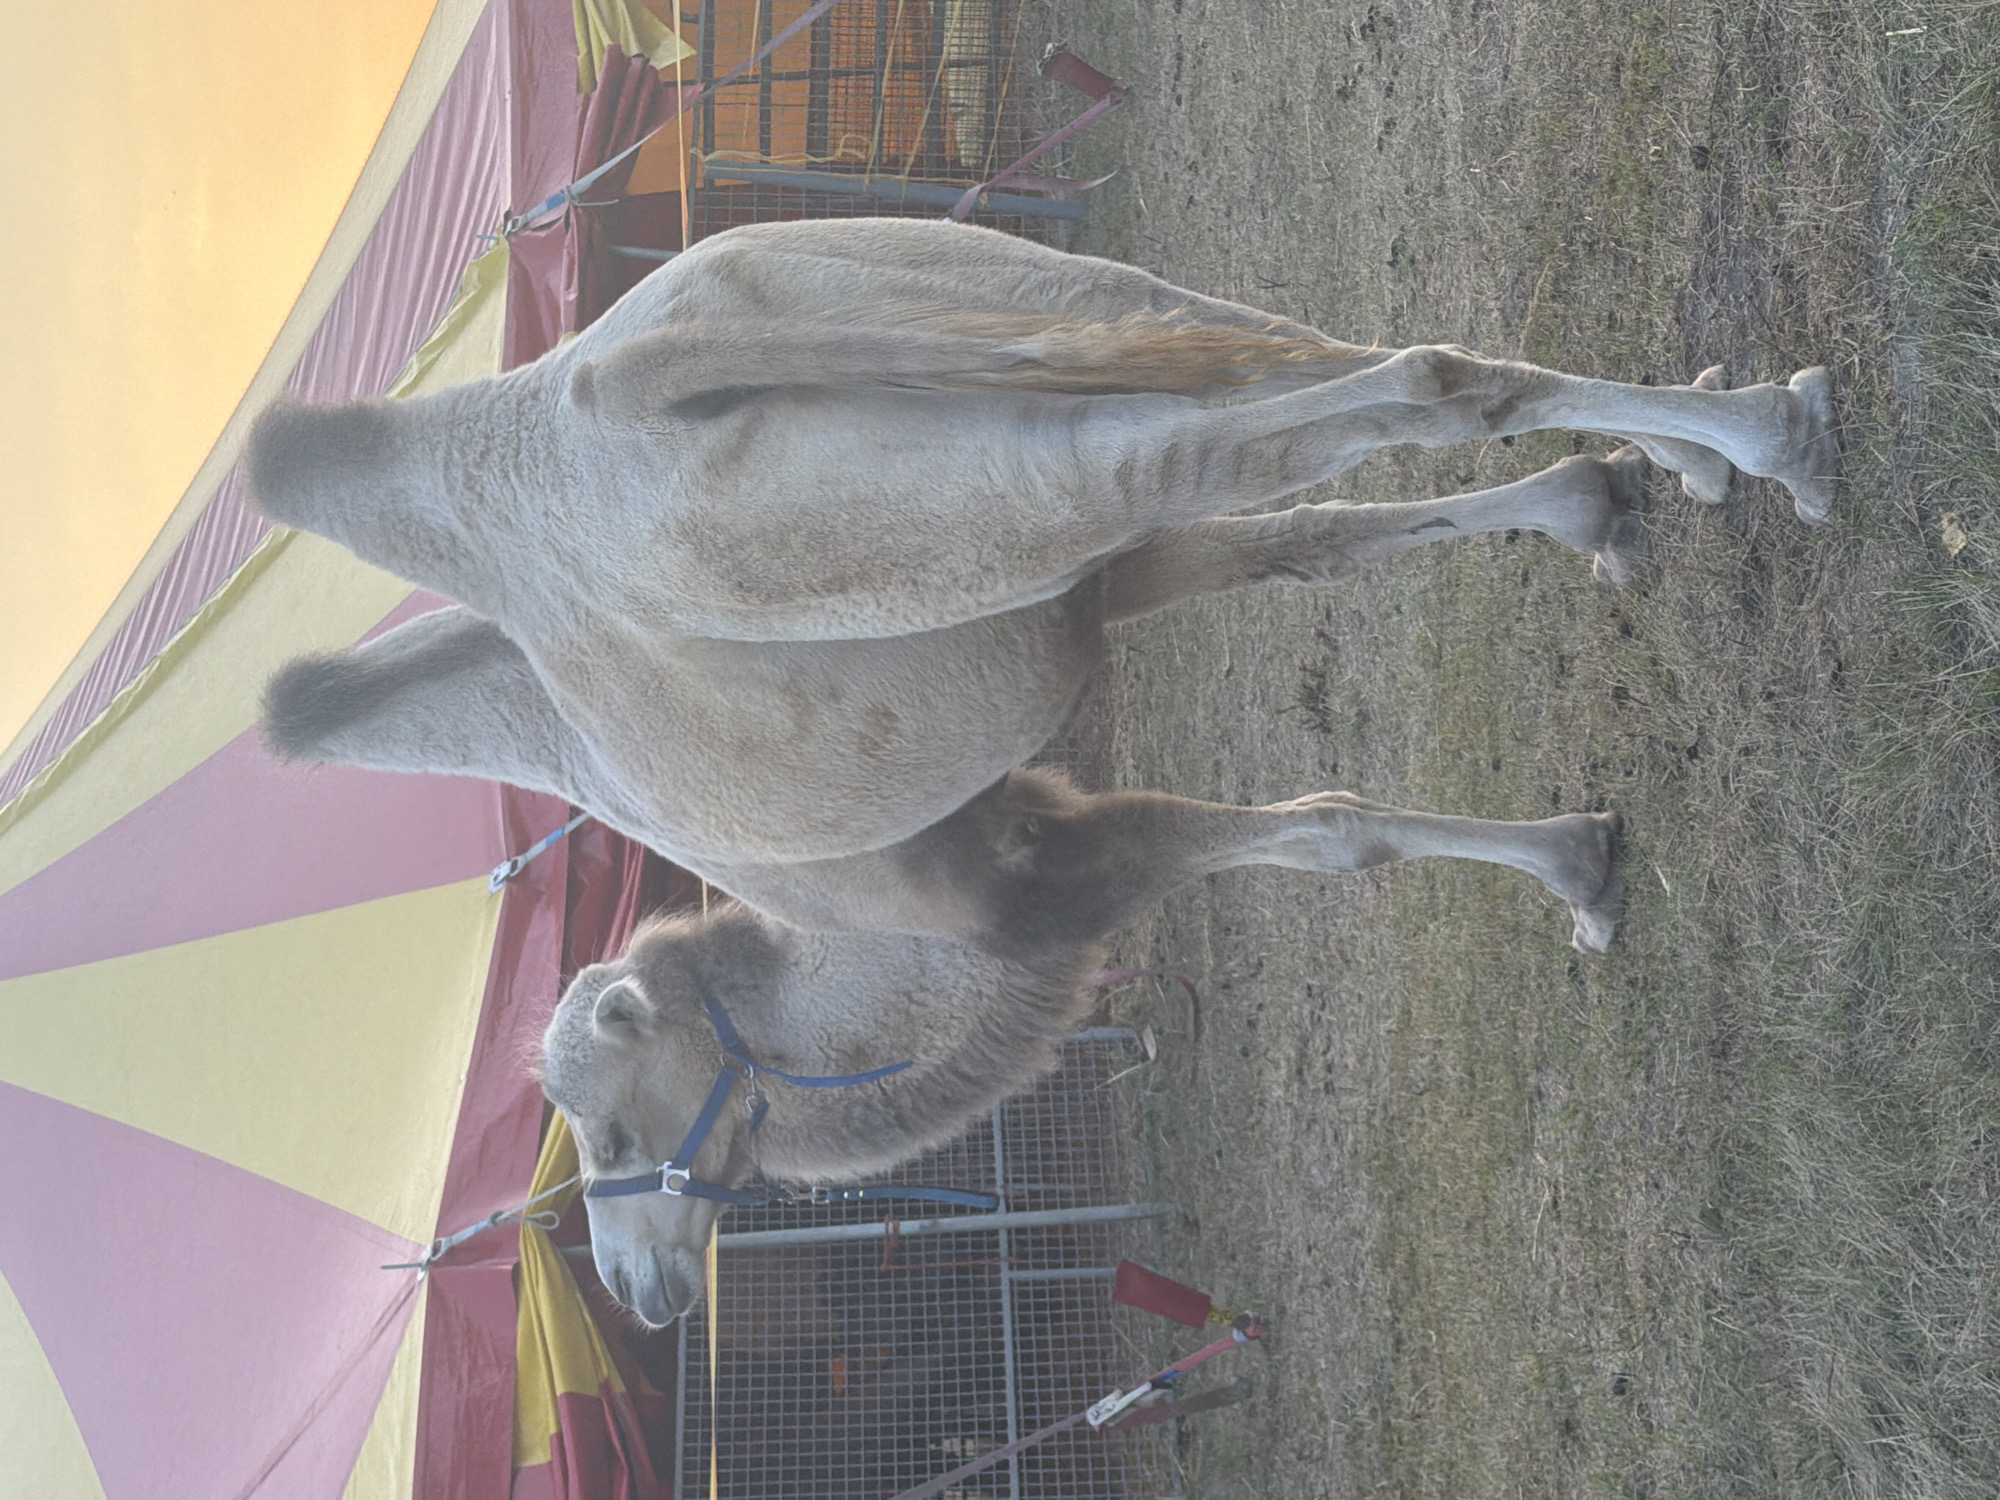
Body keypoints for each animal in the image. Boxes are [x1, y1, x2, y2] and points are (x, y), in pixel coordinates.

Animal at [250, 217, 1837, 951]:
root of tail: (617, 383)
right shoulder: (1090, 593)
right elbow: (1326, 560)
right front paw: (1600, 513)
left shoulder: (1023, 854)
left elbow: (1314, 826)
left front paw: (1578, 866)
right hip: (1023, 308)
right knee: (1381, 368)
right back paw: (1722, 437)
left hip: (1001, 467)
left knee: (1402, 388)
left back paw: (1781, 440)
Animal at [540, 766, 1625, 1327]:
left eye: (610, 1135)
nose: (630, 1292)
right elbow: (1318, 826)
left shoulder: (1059, 866)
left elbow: (1331, 829)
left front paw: (1581, 865)